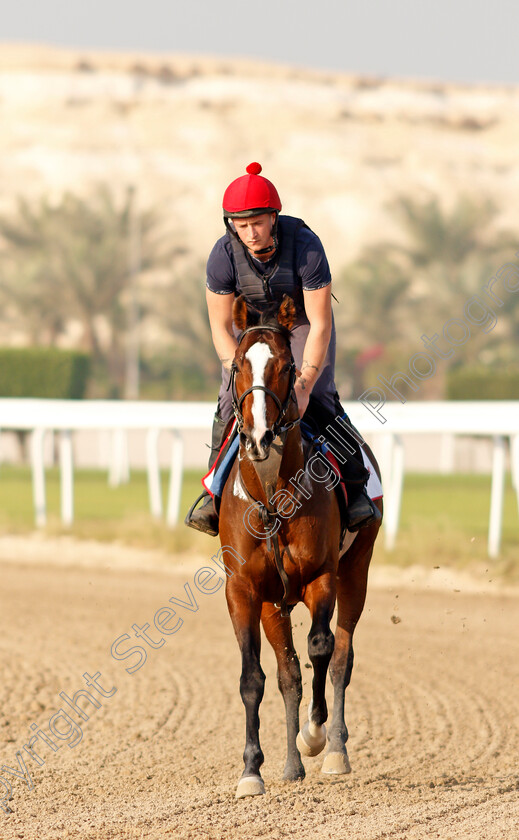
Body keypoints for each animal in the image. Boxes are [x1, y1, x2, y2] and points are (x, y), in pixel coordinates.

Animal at [217, 296, 384, 800]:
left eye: (287, 366)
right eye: (237, 365)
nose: (258, 436)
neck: (274, 497)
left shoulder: (321, 576)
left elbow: (321, 649)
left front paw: (314, 735)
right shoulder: (244, 590)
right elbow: (254, 677)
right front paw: (251, 770)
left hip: (356, 571)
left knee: (341, 657)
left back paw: (332, 751)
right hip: (276, 602)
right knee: (288, 673)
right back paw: (291, 765)